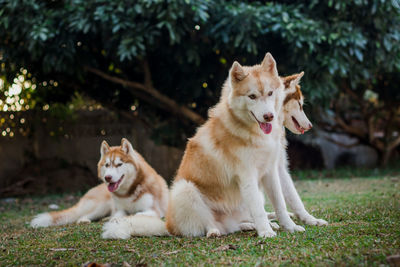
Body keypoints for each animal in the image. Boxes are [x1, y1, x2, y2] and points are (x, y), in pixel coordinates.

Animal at [30, 139, 168, 229]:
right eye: (107, 165)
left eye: (119, 164)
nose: (108, 178)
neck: (128, 193)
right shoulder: (119, 210)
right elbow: (120, 215)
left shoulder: (153, 211)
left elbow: (134, 214)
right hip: (100, 206)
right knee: (82, 216)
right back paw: (85, 220)